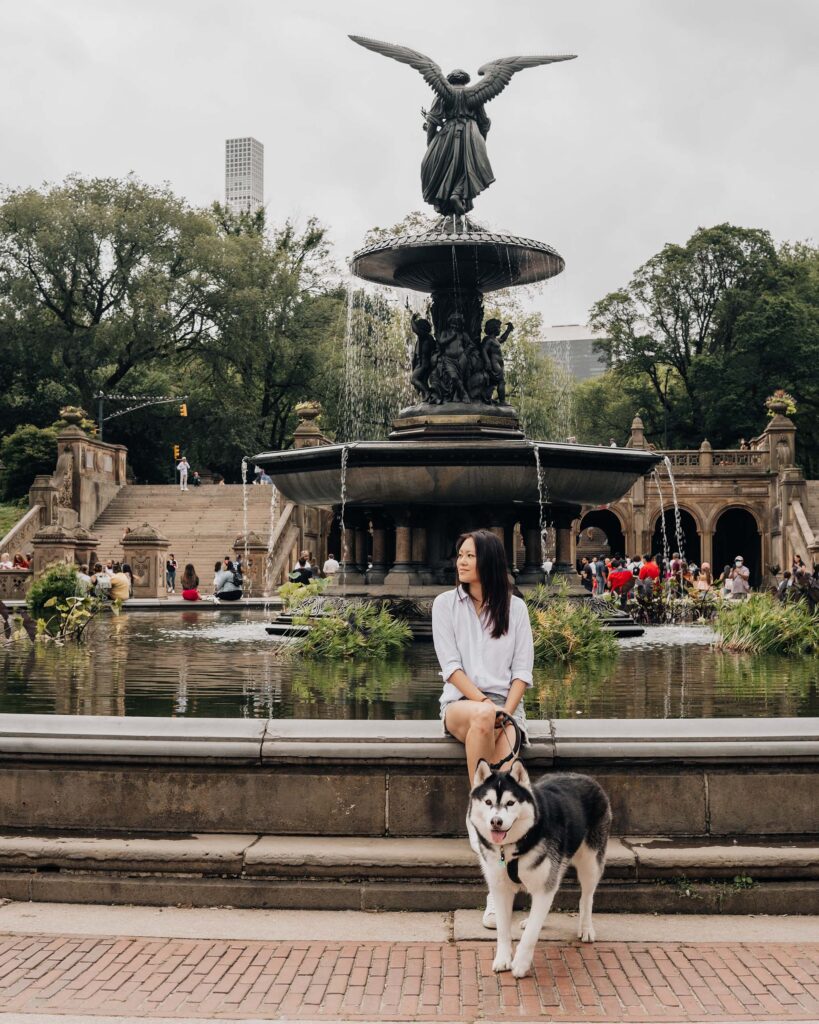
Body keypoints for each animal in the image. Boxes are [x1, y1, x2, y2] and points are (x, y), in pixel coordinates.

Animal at [470, 761, 610, 974]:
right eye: (487, 802)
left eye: (510, 803)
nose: (496, 822)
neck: (512, 848)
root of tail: (584, 776)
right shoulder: (500, 889)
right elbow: (503, 930)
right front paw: (503, 958)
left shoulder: (544, 886)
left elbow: (530, 935)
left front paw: (520, 963)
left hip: (590, 863)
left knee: (586, 898)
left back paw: (586, 928)